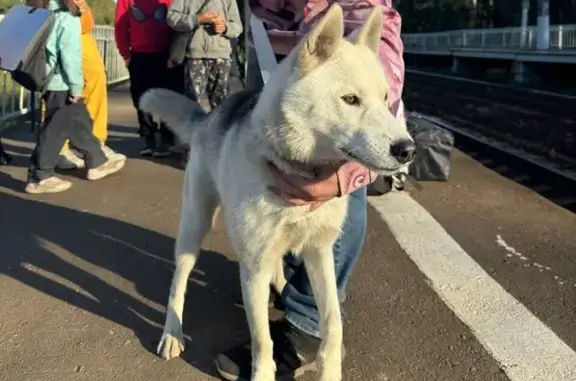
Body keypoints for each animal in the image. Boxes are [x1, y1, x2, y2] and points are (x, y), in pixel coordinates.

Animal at [142, 3, 416, 380]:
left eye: (386, 98)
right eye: (350, 99)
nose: (408, 149)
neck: (298, 168)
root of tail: (208, 118)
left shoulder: (320, 252)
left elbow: (331, 322)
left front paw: (329, 366)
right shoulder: (254, 266)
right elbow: (262, 340)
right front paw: (263, 370)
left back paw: (283, 289)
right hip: (194, 227)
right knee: (178, 282)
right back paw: (171, 332)